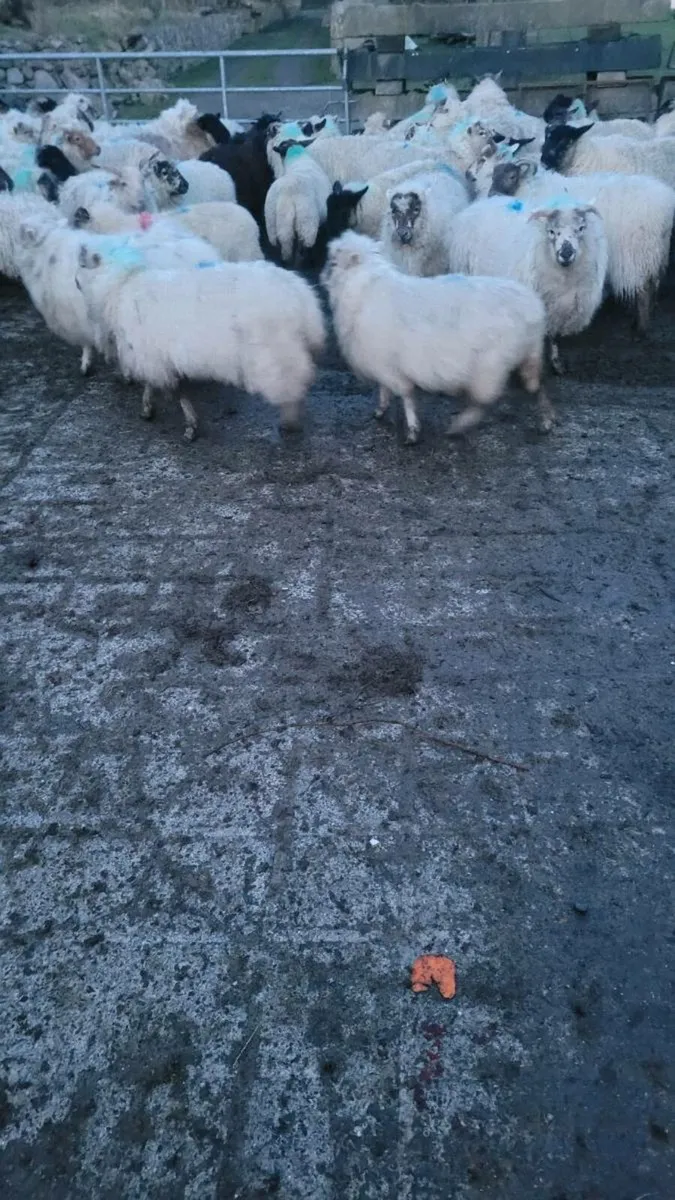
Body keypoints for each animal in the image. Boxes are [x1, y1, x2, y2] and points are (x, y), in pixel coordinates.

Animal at [74, 246, 325, 440]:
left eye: (81, 271)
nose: (74, 282)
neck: (121, 285)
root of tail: (302, 294)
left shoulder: (151, 356)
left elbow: (170, 390)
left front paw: (184, 423)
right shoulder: (158, 358)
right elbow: (165, 387)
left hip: (276, 354)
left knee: (291, 385)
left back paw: (289, 422)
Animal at [321, 231, 552, 443]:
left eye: (333, 262)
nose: (320, 276)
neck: (362, 288)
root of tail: (534, 307)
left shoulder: (388, 365)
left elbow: (405, 395)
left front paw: (412, 431)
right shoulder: (383, 364)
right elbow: (384, 390)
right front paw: (381, 410)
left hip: (491, 366)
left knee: (483, 403)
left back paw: (459, 426)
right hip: (528, 356)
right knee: (536, 387)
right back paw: (546, 420)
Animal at [447, 195, 608, 373]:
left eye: (580, 228)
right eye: (551, 231)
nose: (566, 253)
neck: (565, 277)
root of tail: (483, 202)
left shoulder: (560, 307)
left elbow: (554, 336)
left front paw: (557, 363)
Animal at [481, 159, 675, 333]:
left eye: (512, 176)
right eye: (493, 175)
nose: (492, 195)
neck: (529, 188)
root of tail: (666, 206)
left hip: (637, 255)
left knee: (644, 290)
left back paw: (640, 328)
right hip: (656, 252)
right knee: (654, 282)